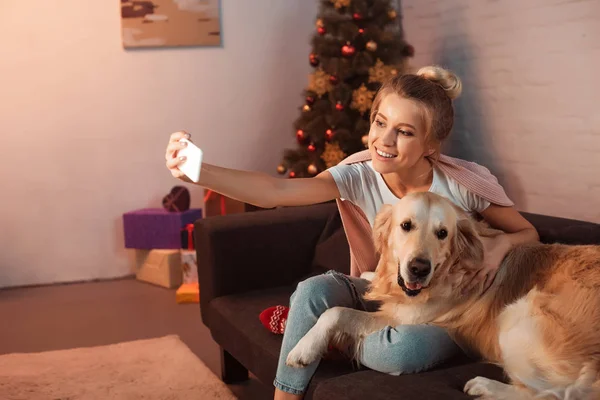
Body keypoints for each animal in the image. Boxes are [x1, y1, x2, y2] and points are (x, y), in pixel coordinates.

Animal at [286, 192, 600, 398]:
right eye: (406, 225)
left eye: (442, 233)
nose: (418, 269)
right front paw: (369, 275)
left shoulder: (404, 317)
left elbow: (336, 311)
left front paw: (304, 348)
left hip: (517, 315)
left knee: (551, 394)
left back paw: (485, 386)